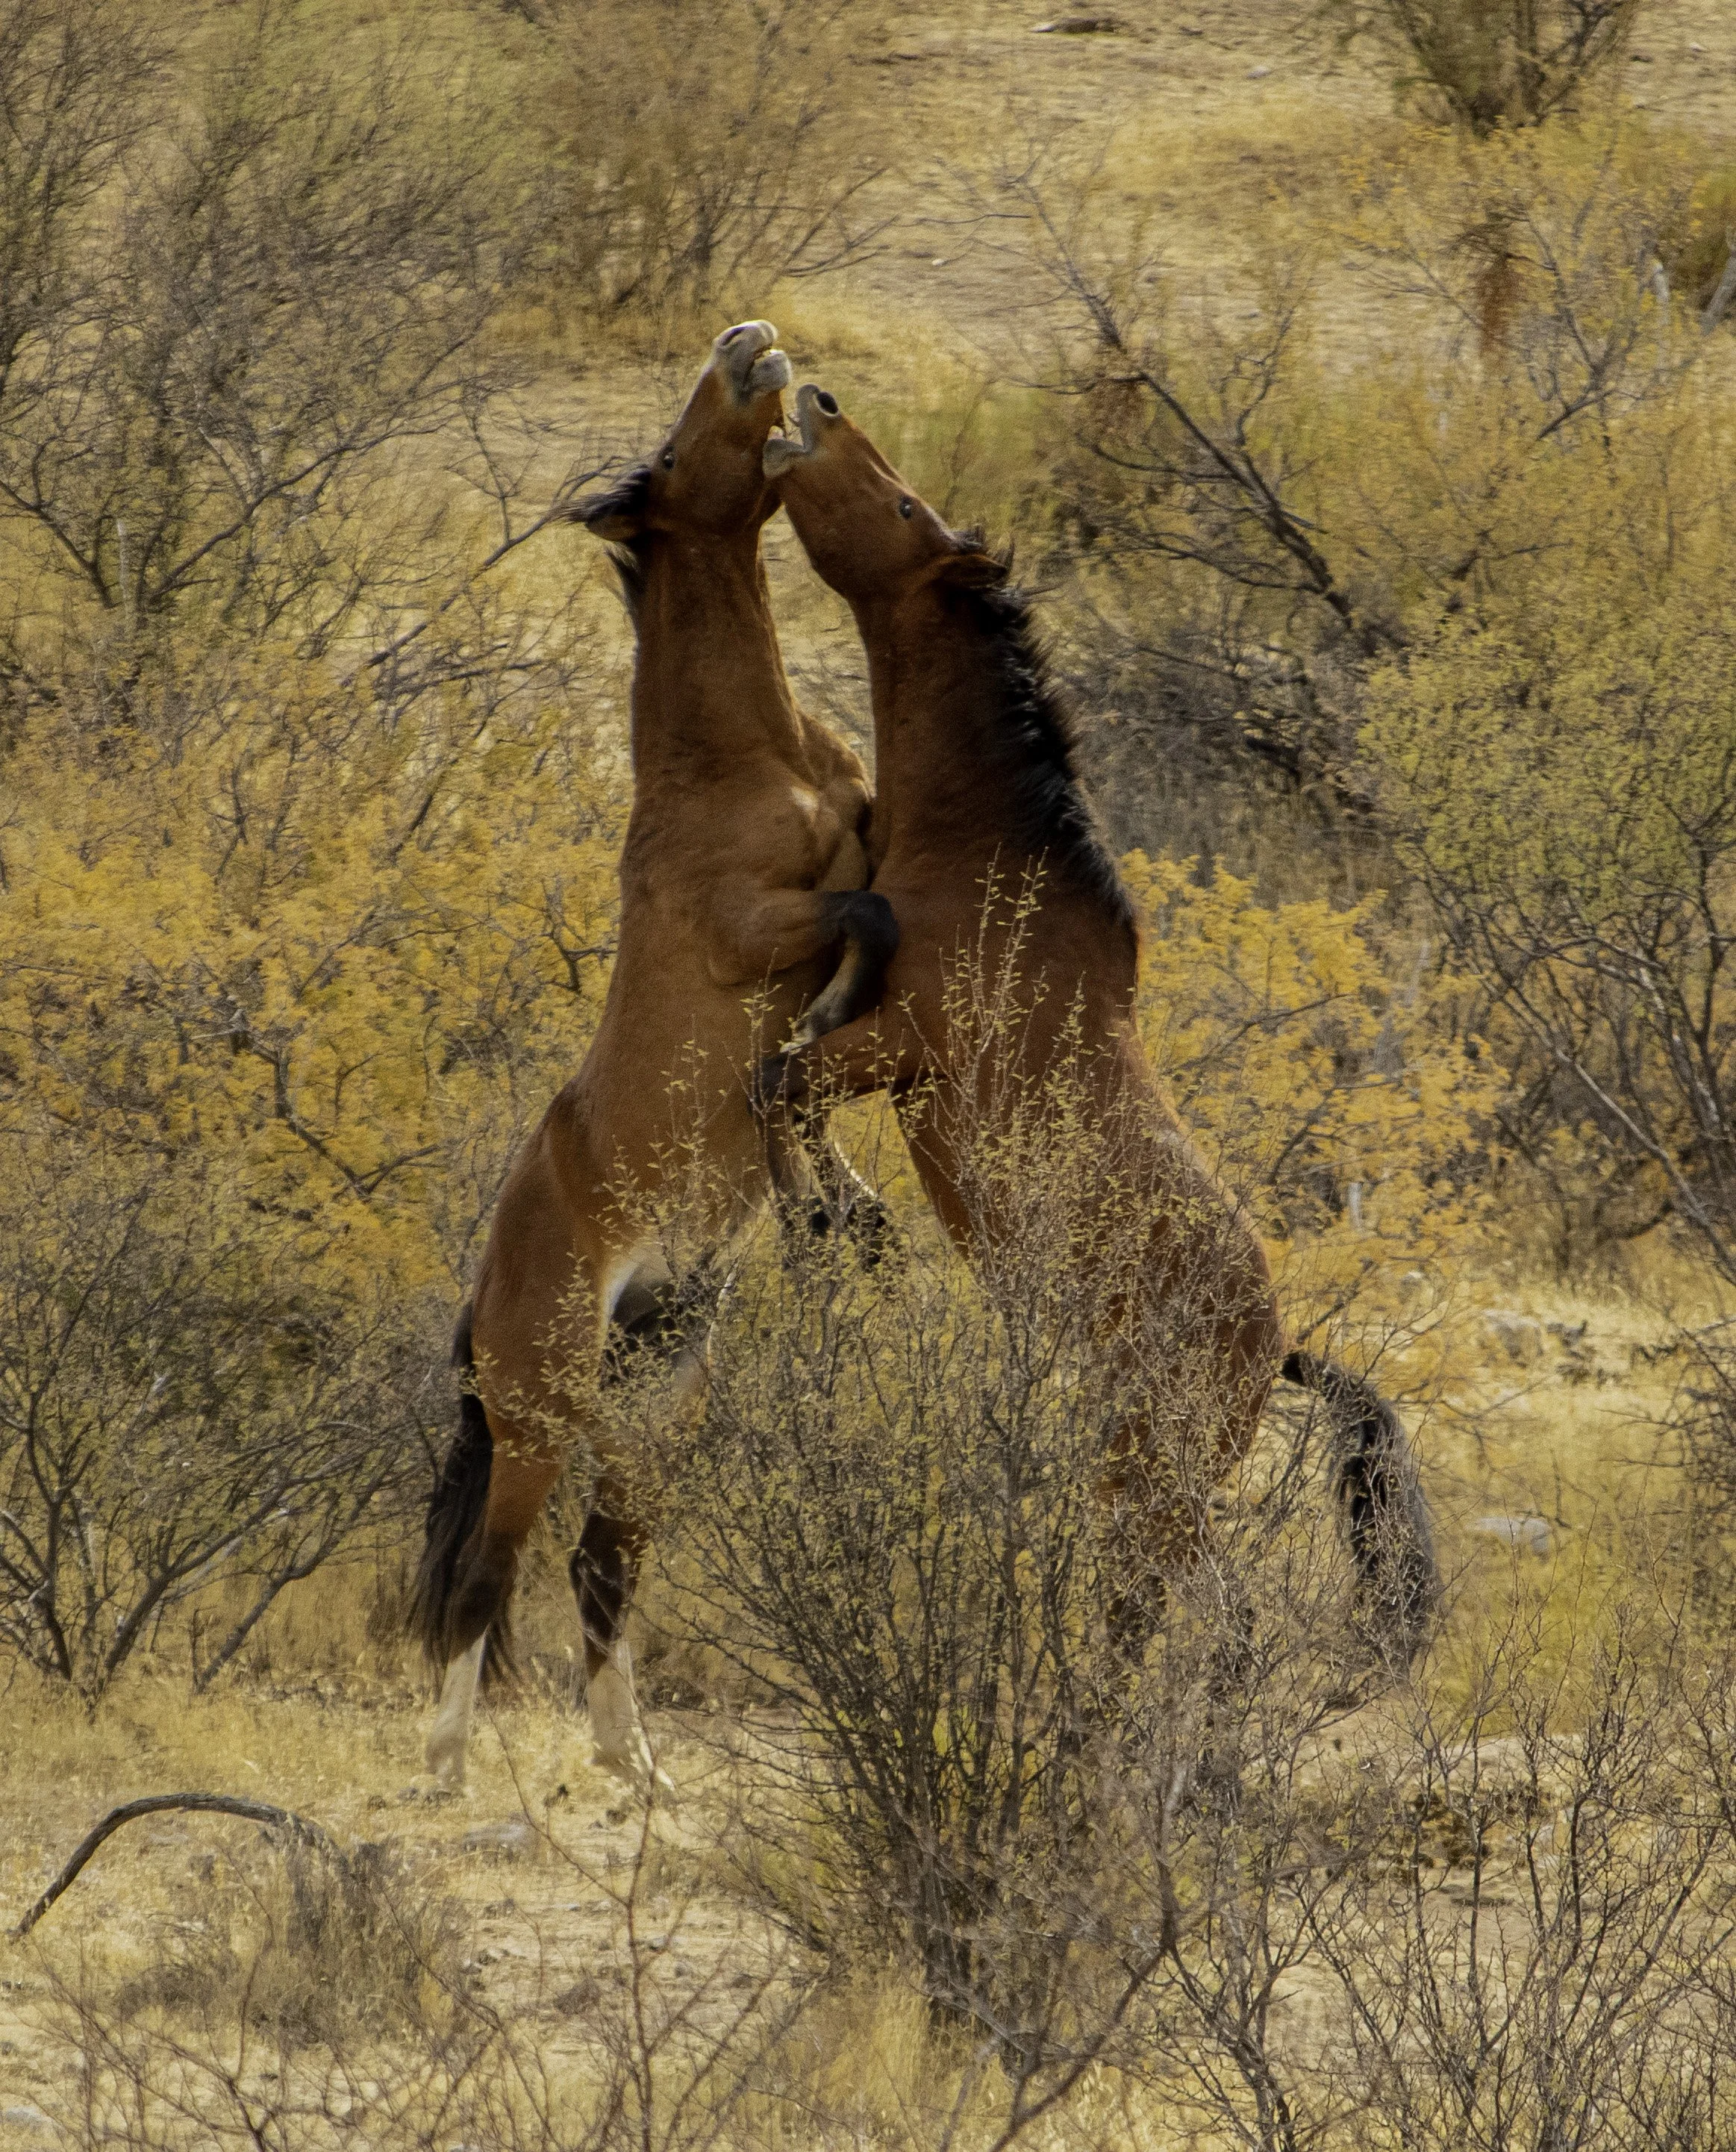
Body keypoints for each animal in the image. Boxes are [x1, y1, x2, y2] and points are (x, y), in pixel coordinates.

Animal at [410, 328, 899, 1792]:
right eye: (678, 452)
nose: (751, 344)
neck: (743, 763)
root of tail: (482, 1295)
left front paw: (843, 1203)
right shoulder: (768, 927)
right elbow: (853, 941)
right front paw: (823, 1190)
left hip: (652, 1414)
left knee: (600, 1566)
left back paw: (641, 1773)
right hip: (542, 1415)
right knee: (486, 1576)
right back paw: (444, 1773)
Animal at [757, 381, 1439, 1665]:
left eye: (905, 505)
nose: (813, 401)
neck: (987, 865)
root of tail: (1269, 1342)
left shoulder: (896, 1049)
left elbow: (778, 1086)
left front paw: (838, 1224)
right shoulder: (867, 1016)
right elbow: (779, 1069)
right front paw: (837, 1226)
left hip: (1150, 1470)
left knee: (1188, 1618)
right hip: (1144, 1466)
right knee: (1188, 1615)